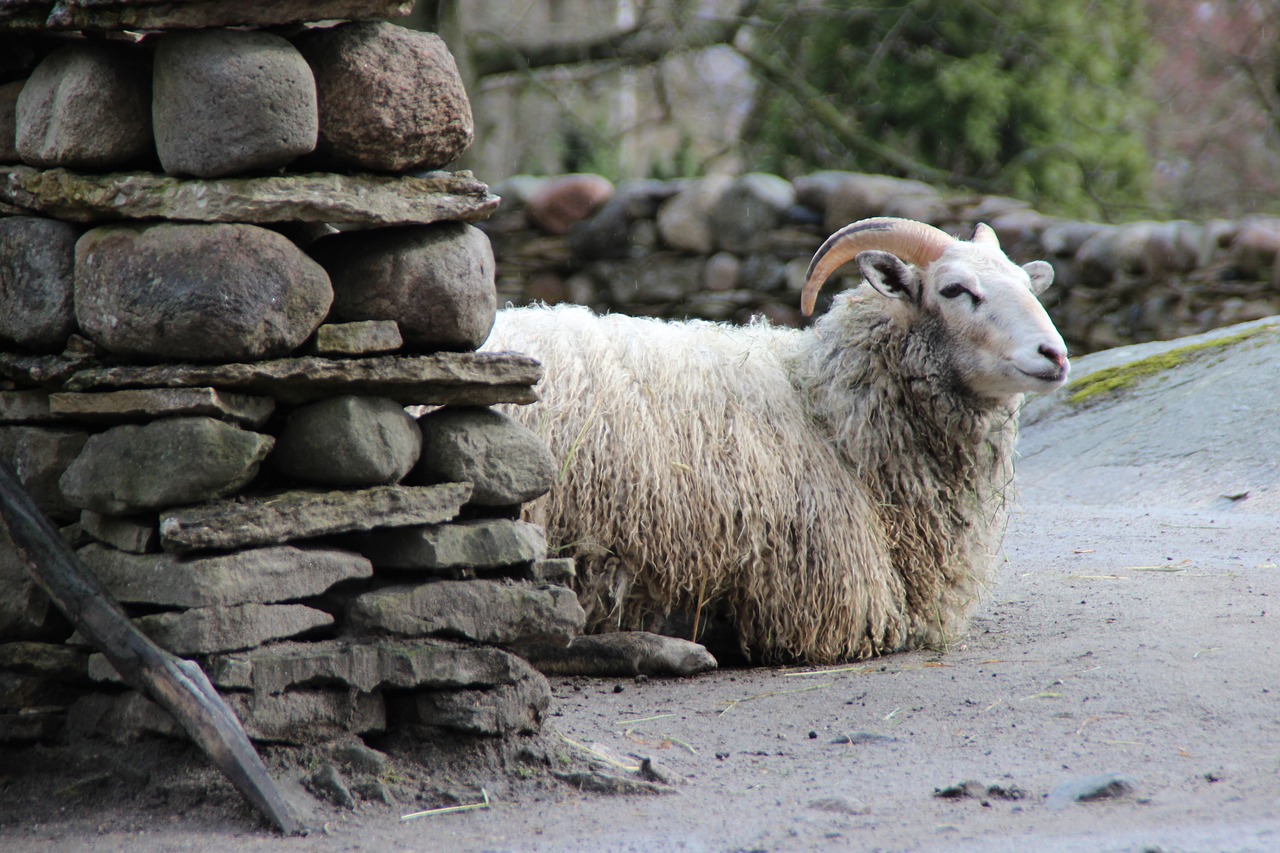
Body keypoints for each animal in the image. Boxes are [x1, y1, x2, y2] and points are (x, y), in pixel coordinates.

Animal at [483, 213, 1064, 666]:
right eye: (954, 290)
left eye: (1029, 286)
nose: (1055, 354)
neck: (825, 411)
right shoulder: (825, 607)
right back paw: (668, 651)